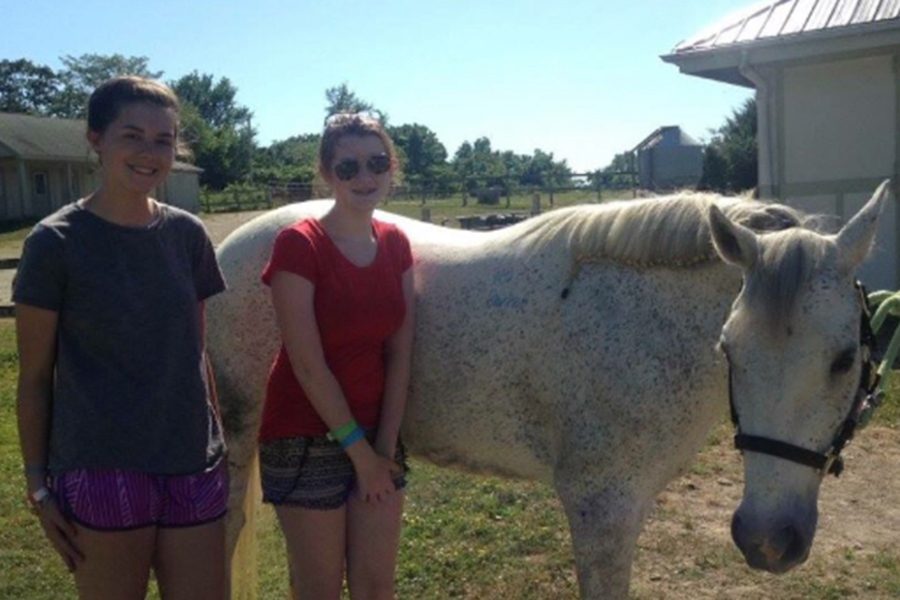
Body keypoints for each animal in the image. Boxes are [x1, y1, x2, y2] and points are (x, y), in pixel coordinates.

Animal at [207, 182, 888, 600]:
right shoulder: (599, 508)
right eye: (729, 350)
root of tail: (233, 244)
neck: (635, 319)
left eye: (844, 359)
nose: (768, 541)